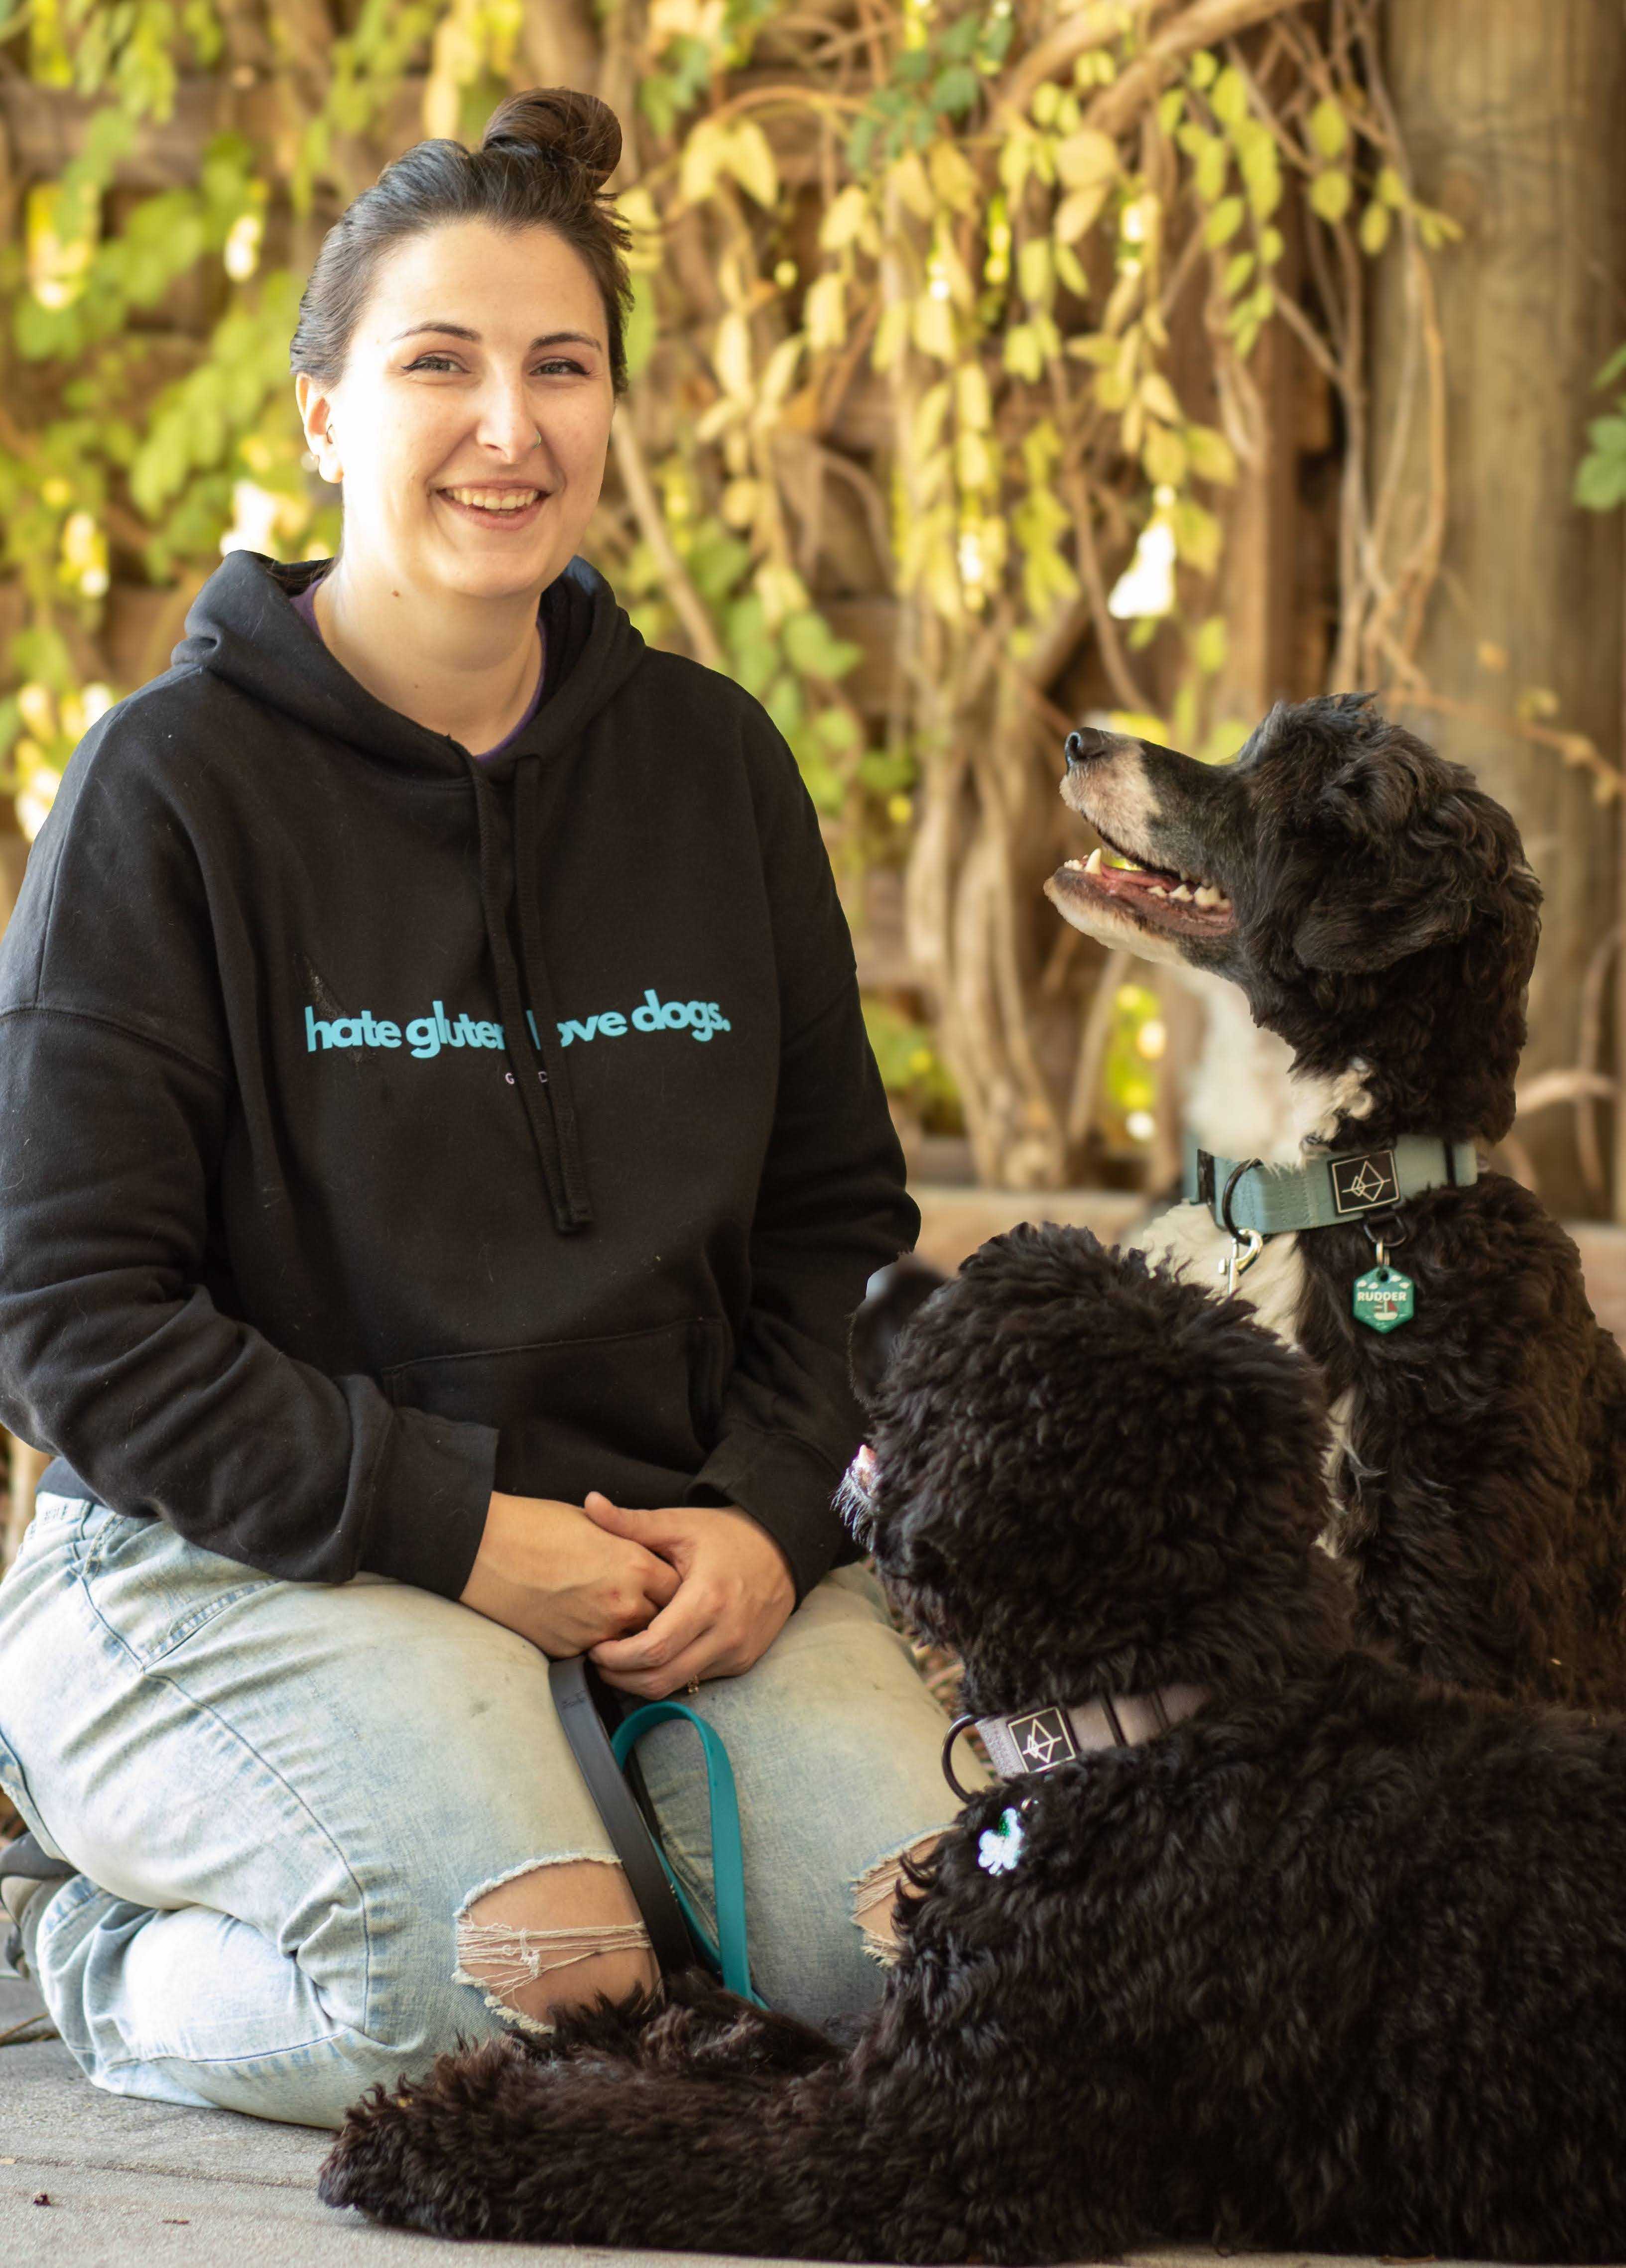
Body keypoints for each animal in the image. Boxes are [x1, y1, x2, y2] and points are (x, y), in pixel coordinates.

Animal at [313, 1233, 1624, 2259]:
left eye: (967, 1342)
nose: (880, 1268)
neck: (1153, 1728)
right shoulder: (904, 2053)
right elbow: (766, 2039)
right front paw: (660, 2021)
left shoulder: (910, 2151)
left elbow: (658, 2142)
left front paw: (437, 2129)